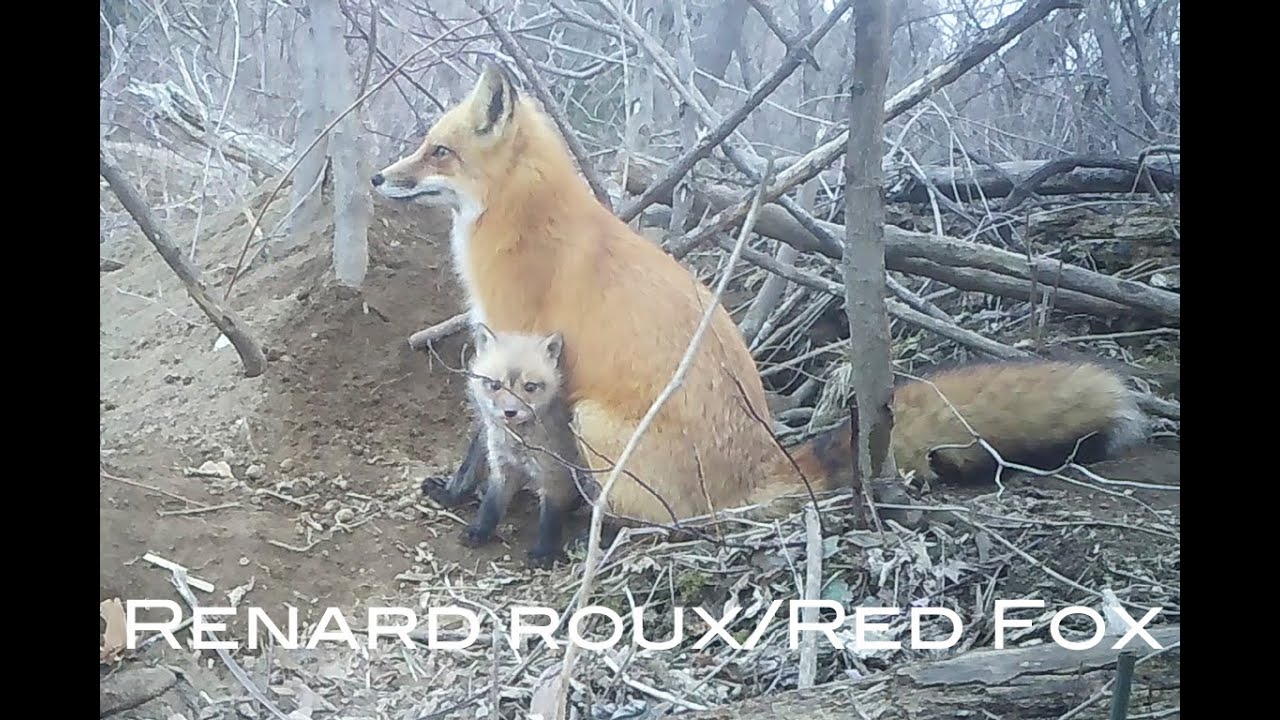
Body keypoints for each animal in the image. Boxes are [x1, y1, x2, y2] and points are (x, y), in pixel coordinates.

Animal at [371, 62, 1152, 526]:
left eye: (438, 152)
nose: (378, 177)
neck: (525, 219)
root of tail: (769, 459)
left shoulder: (521, 346)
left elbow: (487, 435)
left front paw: (471, 495)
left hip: (593, 425)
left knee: (668, 520)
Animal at [461, 324, 589, 567]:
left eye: (530, 387)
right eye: (495, 385)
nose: (510, 412)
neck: (518, 443)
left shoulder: (555, 473)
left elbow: (550, 519)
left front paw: (544, 552)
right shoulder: (503, 467)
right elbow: (491, 505)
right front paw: (480, 530)